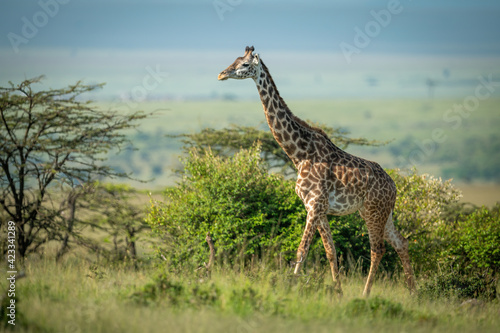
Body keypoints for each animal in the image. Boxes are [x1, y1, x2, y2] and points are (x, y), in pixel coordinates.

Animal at [217, 45, 416, 294]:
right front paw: (338, 293)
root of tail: (394, 186)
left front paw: (289, 288)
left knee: (377, 249)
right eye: (233, 60)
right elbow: (331, 251)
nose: (221, 74)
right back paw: (413, 293)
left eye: (244, 64)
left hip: (373, 211)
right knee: (402, 243)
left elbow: (302, 251)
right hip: (381, 212)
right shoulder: (317, 208)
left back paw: (366, 295)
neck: (299, 153)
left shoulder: (314, 205)